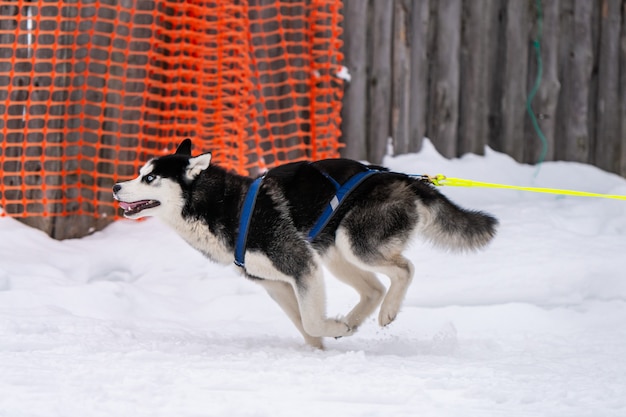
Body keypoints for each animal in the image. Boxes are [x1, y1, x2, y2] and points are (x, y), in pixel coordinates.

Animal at [109, 140, 494, 348]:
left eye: (150, 177)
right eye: (139, 172)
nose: (115, 186)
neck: (224, 206)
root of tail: (401, 177)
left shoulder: (300, 266)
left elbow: (311, 321)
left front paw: (332, 328)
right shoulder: (275, 283)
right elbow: (303, 325)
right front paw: (321, 349)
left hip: (355, 242)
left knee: (405, 268)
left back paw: (385, 312)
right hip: (334, 252)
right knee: (372, 288)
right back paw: (354, 320)